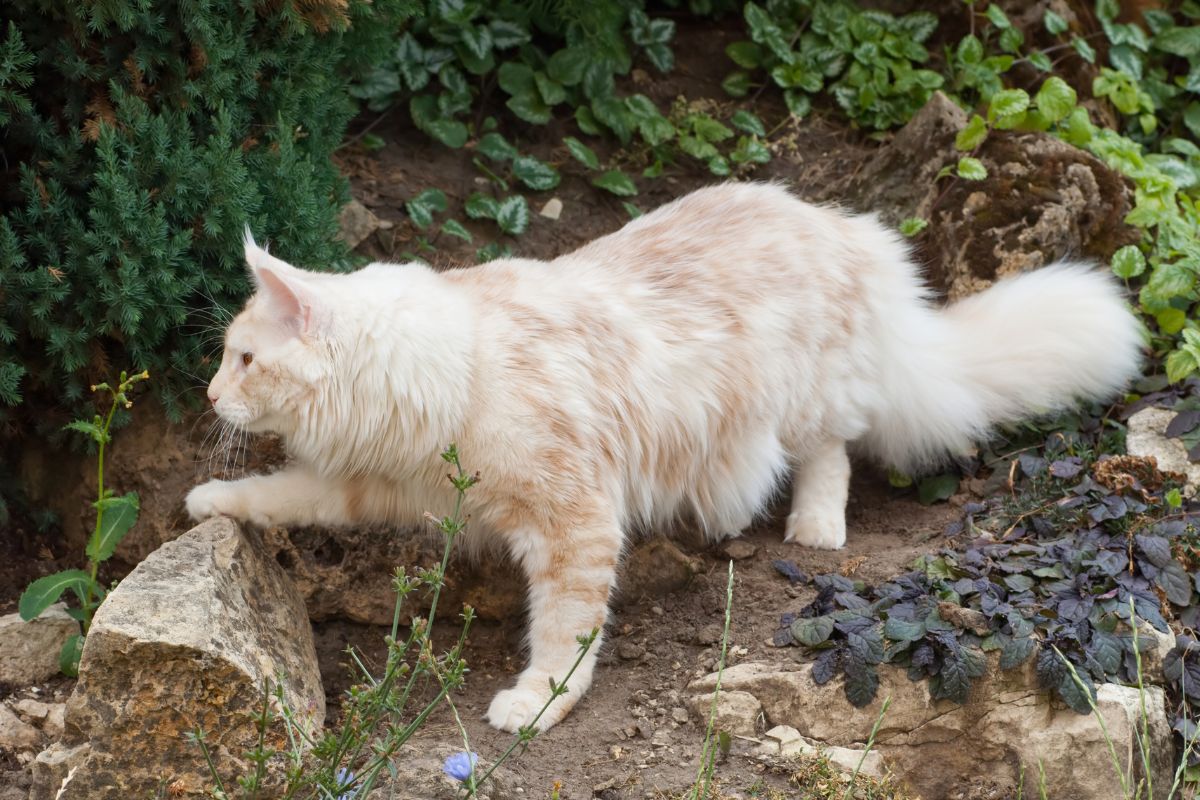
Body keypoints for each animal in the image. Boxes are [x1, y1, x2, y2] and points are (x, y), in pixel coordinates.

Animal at [187, 181, 1142, 734]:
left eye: (244, 359)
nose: (206, 395)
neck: (444, 374)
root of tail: (839, 224)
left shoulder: (573, 523)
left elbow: (565, 631)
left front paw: (539, 703)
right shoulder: (380, 483)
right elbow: (281, 491)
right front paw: (208, 501)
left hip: (802, 398)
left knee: (831, 452)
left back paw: (815, 526)